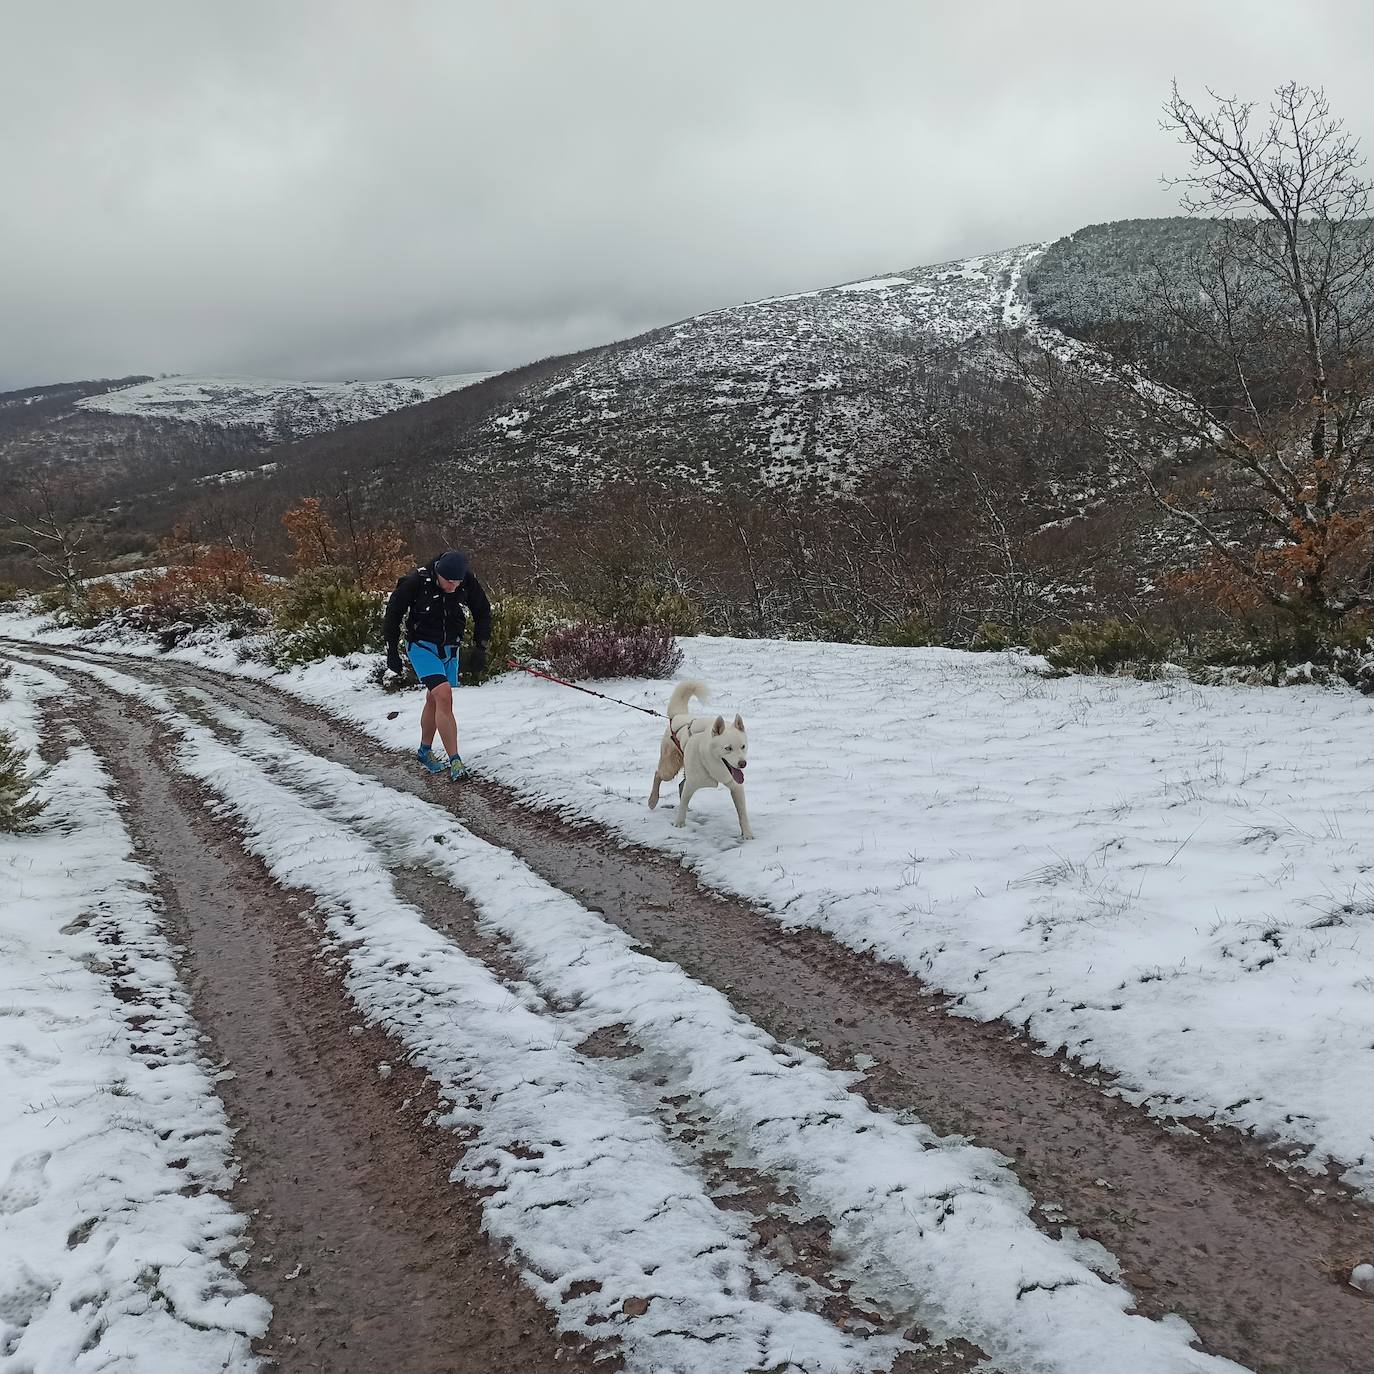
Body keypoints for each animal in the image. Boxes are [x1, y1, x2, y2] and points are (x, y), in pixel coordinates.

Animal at [648, 678, 758, 835]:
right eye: (728, 748)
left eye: (743, 746)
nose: (743, 764)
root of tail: (678, 716)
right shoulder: (692, 783)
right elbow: (682, 805)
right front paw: (679, 824)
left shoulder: (736, 786)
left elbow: (742, 813)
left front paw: (748, 835)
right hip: (670, 768)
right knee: (658, 774)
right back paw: (652, 800)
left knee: (681, 784)